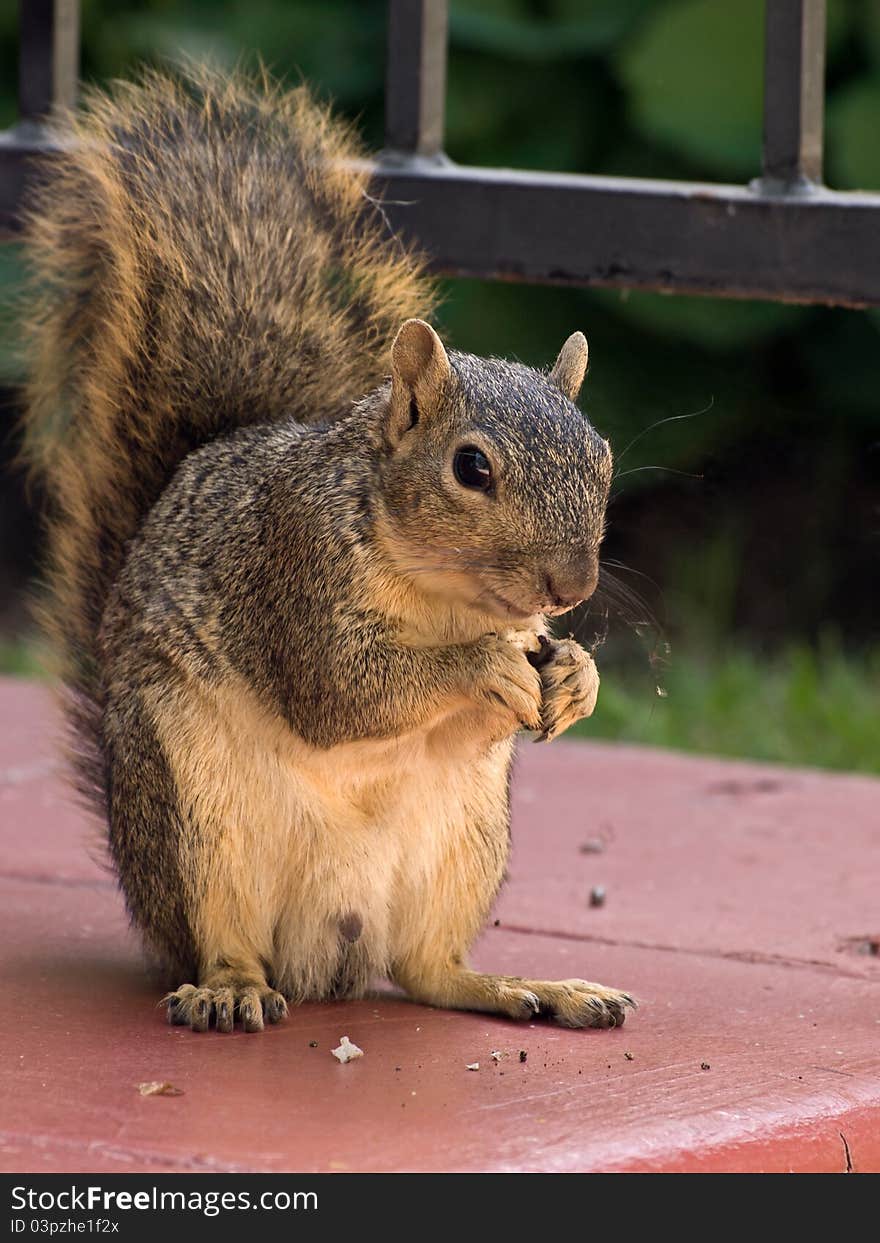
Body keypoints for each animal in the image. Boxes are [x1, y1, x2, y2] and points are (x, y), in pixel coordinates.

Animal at [20, 70, 631, 1039]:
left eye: (602, 456)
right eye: (471, 467)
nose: (570, 586)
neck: (443, 593)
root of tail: (324, 954)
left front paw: (576, 677)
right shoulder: (293, 565)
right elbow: (338, 689)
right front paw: (480, 667)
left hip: (466, 838)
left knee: (428, 970)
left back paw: (527, 986)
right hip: (196, 820)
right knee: (225, 936)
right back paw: (230, 988)